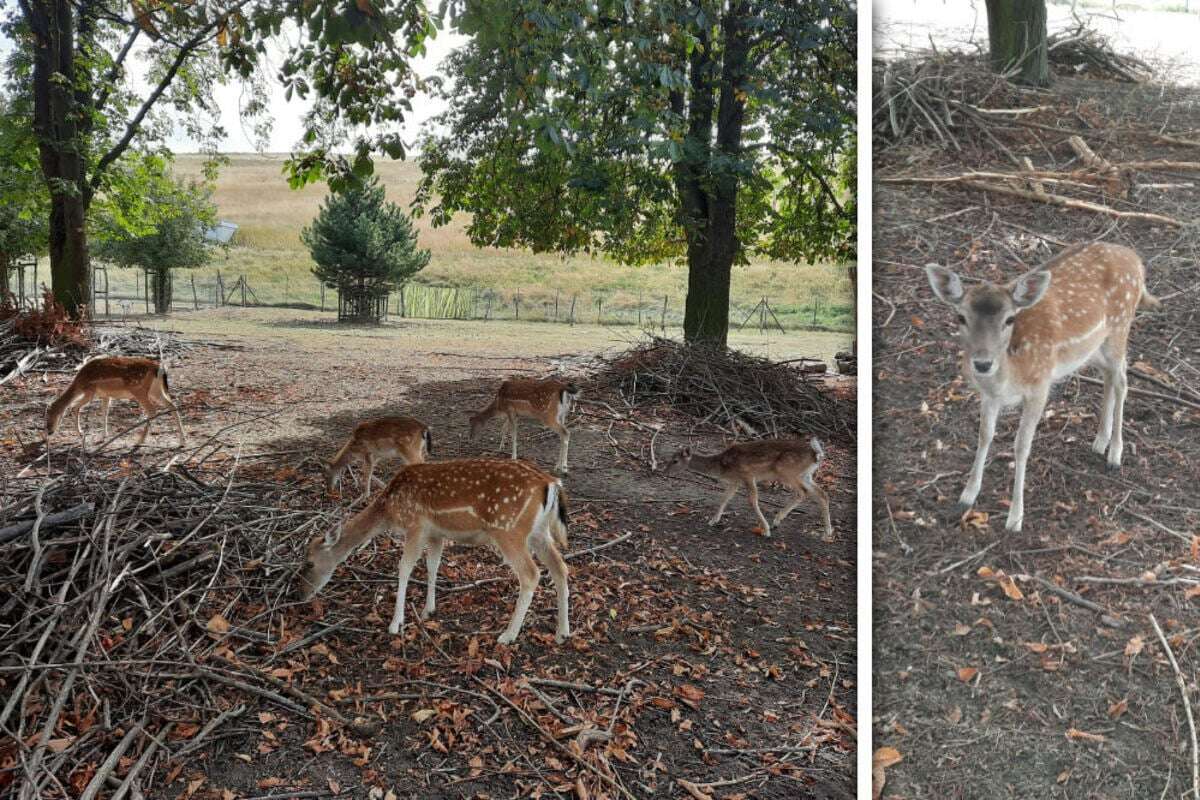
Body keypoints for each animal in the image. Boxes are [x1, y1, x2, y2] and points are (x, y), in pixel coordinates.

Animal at [46, 357, 184, 450]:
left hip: (139, 390)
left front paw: (81, 433)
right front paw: (104, 436)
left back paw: (139, 441)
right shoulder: (105, 395)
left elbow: (74, 407)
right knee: (172, 405)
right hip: (156, 390)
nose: (49, 431)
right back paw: (182, 441)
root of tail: (159, 369)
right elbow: (104, 412)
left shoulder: (90, 391)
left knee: (152, 410)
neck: (79, 384)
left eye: (49, 415)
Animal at [292, 455, 568, 642]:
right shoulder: (436, 533)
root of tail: (550, 484)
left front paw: (395, 624)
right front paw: (428, 610)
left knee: (531, 574)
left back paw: (508, 635)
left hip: (508, 529)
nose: (301, 595)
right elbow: (432, 565)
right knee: (561, 568)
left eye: (309, 562)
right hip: (539, 532)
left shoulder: (416, 526)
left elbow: (404, 568)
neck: (390, 509)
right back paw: (563, 632)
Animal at [662, 434, 830, 542]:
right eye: (670, 458)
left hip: (787, 472)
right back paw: (826, 534)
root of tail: (816, 454)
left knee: (803, 492)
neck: (723, 467)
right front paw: (712, 520)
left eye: (675, 461)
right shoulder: (735, 481)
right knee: (822, 494)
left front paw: (765, 531)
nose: (664, 472)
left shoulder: (747, 475)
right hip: (806, 475)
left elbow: (752, 501)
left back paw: (777, 521)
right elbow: (724, 498)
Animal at [921, 242, 1156, 532]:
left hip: (1120, 328)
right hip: (1092, 348)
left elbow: (1021, 446)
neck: (1009, 377)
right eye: (960, 317)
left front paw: (1015, 518)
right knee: (1109, 376)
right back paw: (1100, 441)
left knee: (1122, 378)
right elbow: (984, 435)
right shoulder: (989, 396)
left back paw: (1114, 454)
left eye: (1009, 319)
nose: (983, 364)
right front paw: (967, 495)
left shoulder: (1040, 387)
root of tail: (1137, 262)